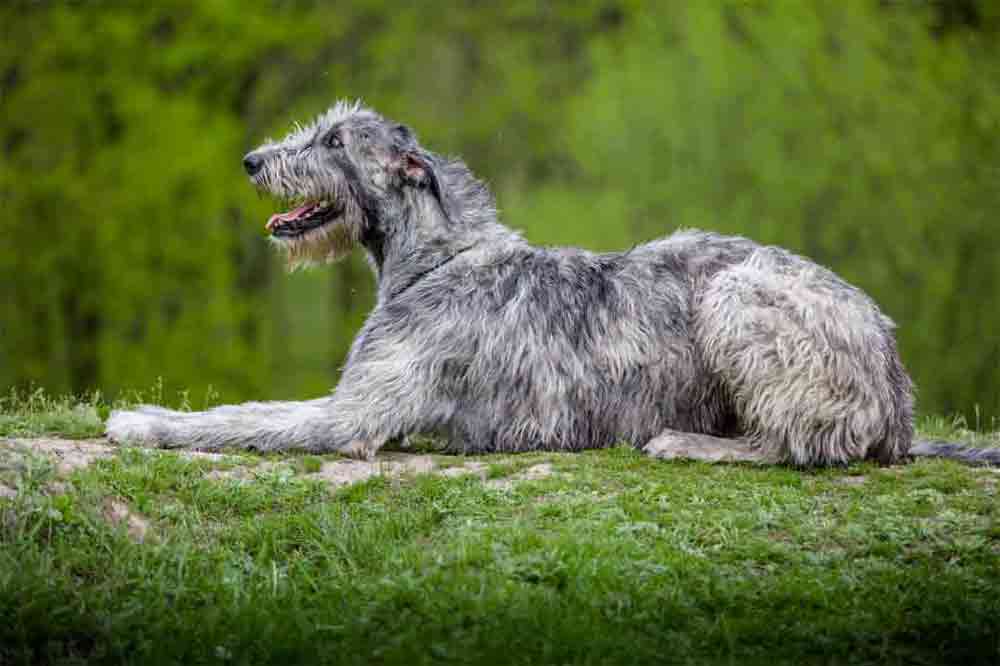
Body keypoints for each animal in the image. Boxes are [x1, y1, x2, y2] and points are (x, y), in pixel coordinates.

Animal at [105, 100, 996, 466]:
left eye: (331, 140)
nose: (253, 160)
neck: (442, 257)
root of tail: (898, 392)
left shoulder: (354, 416)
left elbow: (243, 420)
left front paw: (141, 422)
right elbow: (248, 412)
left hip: (739, 298)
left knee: (803, 445)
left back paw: (692, 444)